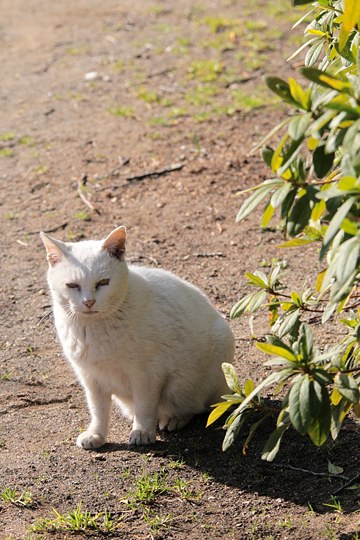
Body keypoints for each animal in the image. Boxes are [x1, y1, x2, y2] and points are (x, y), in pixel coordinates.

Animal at [40, 226, 235, 450]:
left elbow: (144, 406)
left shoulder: (147, 375)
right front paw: (96, 434)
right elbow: (98, 410)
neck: (95, 328)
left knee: (195, 405)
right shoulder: (91, 378)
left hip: (213, 354)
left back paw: (173, 418)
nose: (89, 302)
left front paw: (142, 432)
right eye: (72, 286)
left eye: (103, 283)